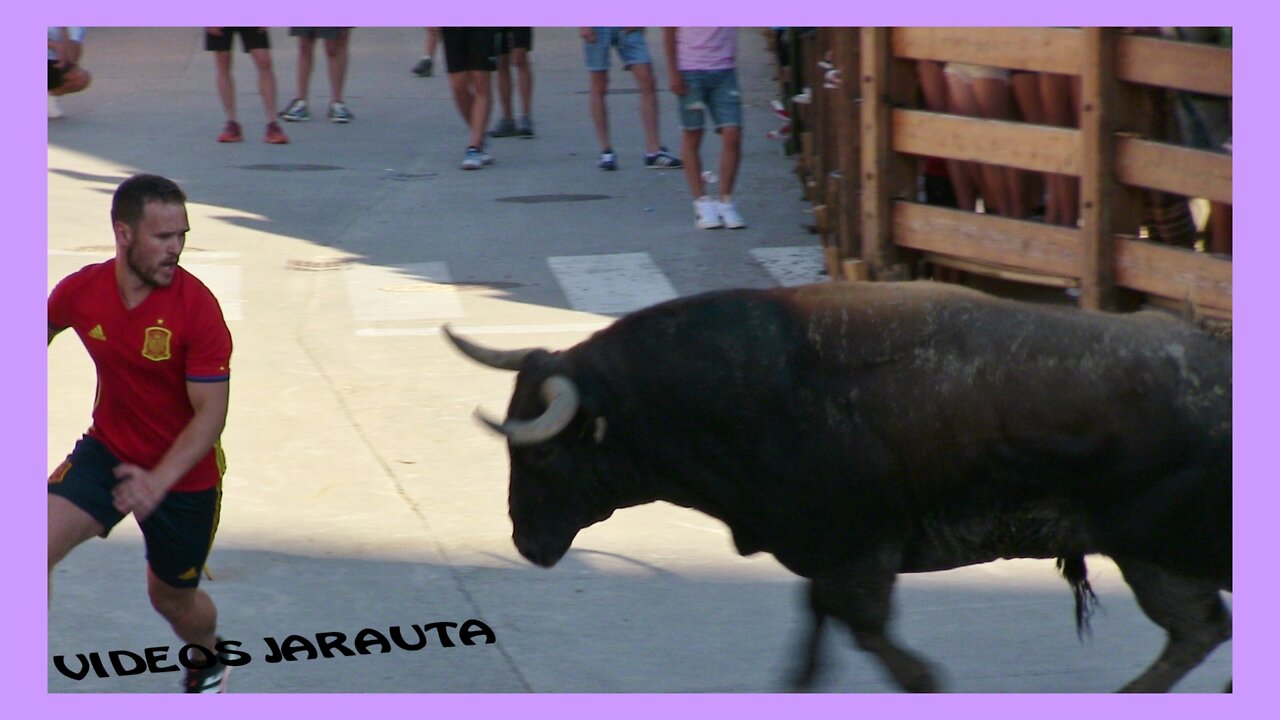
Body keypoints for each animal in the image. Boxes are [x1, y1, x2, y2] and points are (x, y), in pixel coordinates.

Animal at [442, 280, 1228, 691]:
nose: (527, 543)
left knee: (1198, 631)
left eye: (545, 456)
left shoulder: (858, 556)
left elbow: (874, 639)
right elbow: (816, 627)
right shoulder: (822, 554)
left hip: (1165, 552)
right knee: (1200, 631)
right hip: (1157, 559)